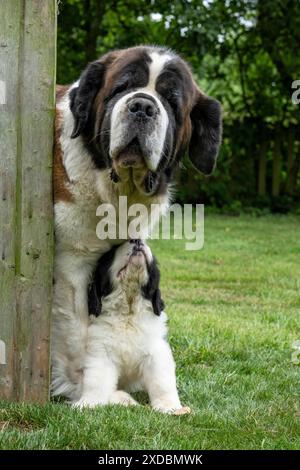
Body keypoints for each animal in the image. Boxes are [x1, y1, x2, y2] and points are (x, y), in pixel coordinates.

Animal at [72, 241, 189, 414]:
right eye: (113, 251)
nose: (138, 241)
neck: (128, 311)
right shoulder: (101, 352)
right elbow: (96, 380)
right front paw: (88, 403)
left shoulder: (156, 351)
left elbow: (162, 380)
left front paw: (169, 406)